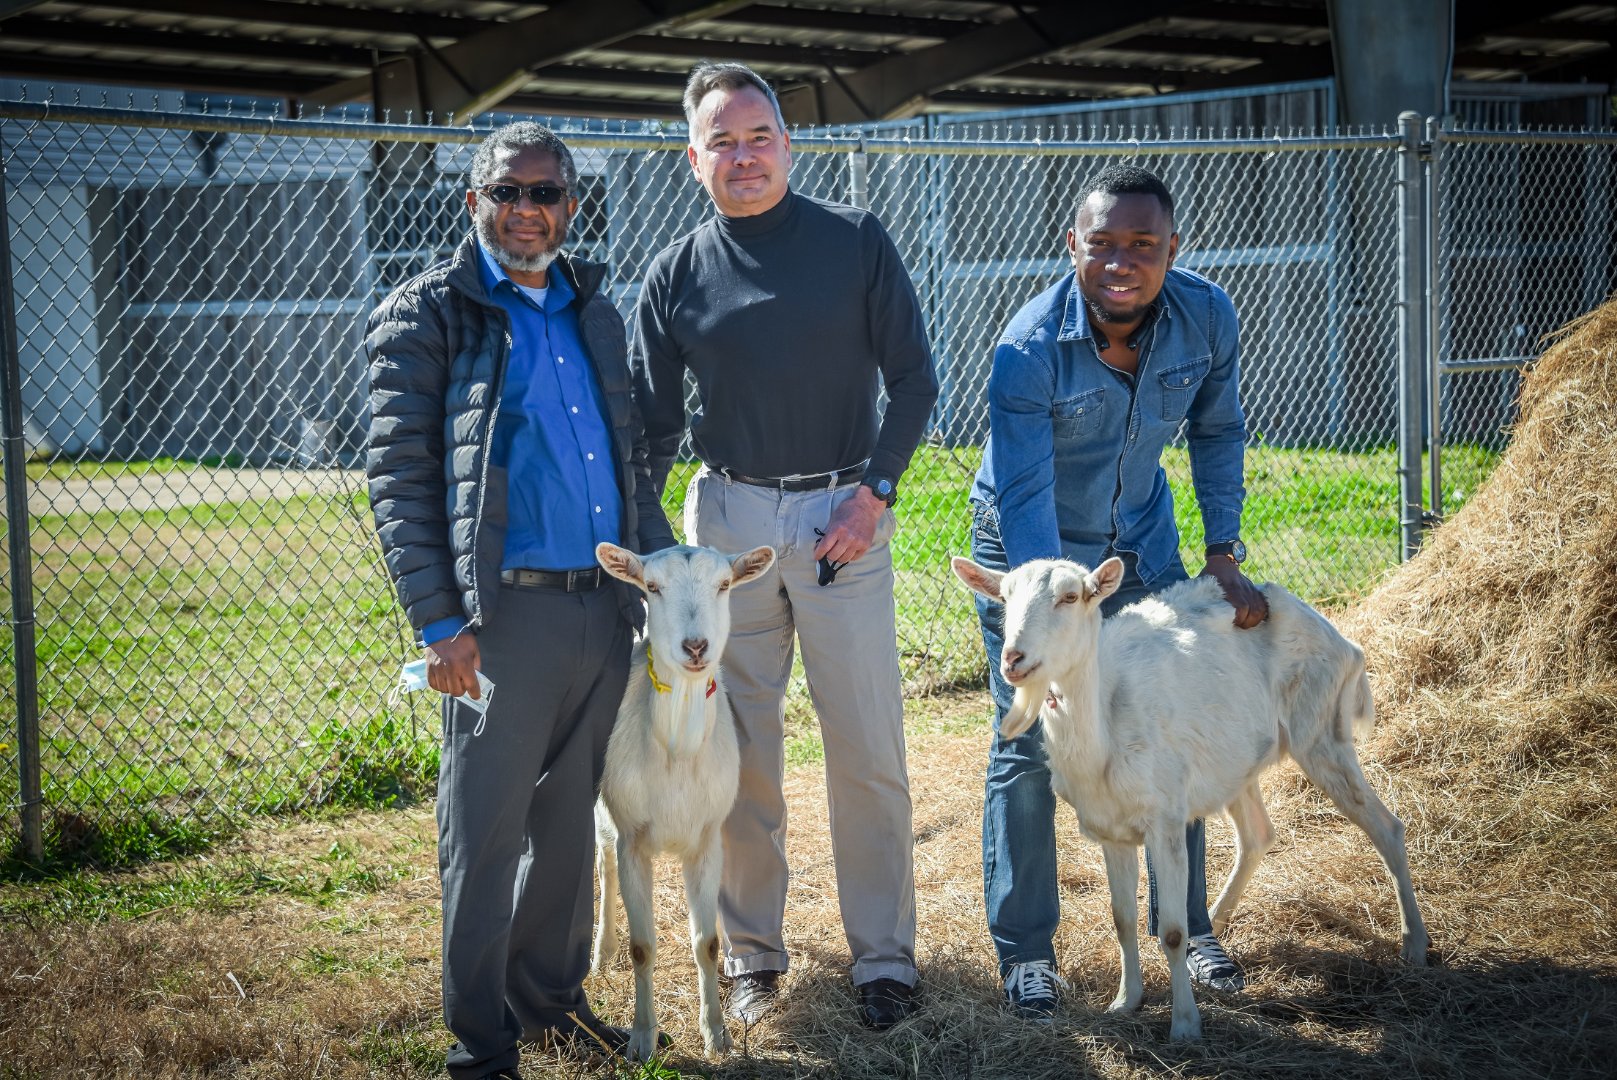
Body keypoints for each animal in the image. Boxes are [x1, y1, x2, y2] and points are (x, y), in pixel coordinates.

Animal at [591, 536, 772, 1060]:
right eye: (652, 586)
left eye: (725, 584)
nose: (695, 647)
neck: (676, 752)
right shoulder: (632, 836)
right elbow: (642, 946)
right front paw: (642, 1039)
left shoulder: (708, 838)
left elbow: (707, 943)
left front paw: (717, 1035)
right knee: (603, 863)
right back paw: (601, 952)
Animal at [944, 552, 1429, 1041]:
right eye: (1004, 598)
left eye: (1070, 596)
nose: (1014, 659)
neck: (1106, 725)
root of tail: (1345, 642)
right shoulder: (1112, 829)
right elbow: (1122, 920)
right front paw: (1125, 1002)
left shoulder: (1165, 816)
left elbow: (1173, 930)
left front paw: (1185, 1026)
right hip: (1236, 760)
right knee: (1258, 834)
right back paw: (1217, 919)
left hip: (1321, 730)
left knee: (1387, 826)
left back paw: (1415, 946)